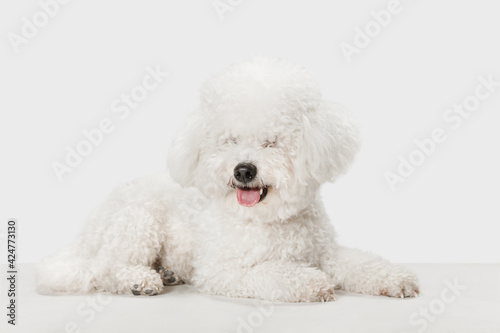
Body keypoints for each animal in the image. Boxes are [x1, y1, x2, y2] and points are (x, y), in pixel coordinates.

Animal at [38, 56, 418, 300]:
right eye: (230, 140)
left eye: (271, 141)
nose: (243, 170)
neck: (268, 220)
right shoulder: (223, 270)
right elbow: (271, 273)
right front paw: (311, 283)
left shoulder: (325, 252)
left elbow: (359, 263)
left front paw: (395, 278)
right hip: (138, 222)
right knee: (102, 269)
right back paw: (140, 280)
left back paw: (167, 273)